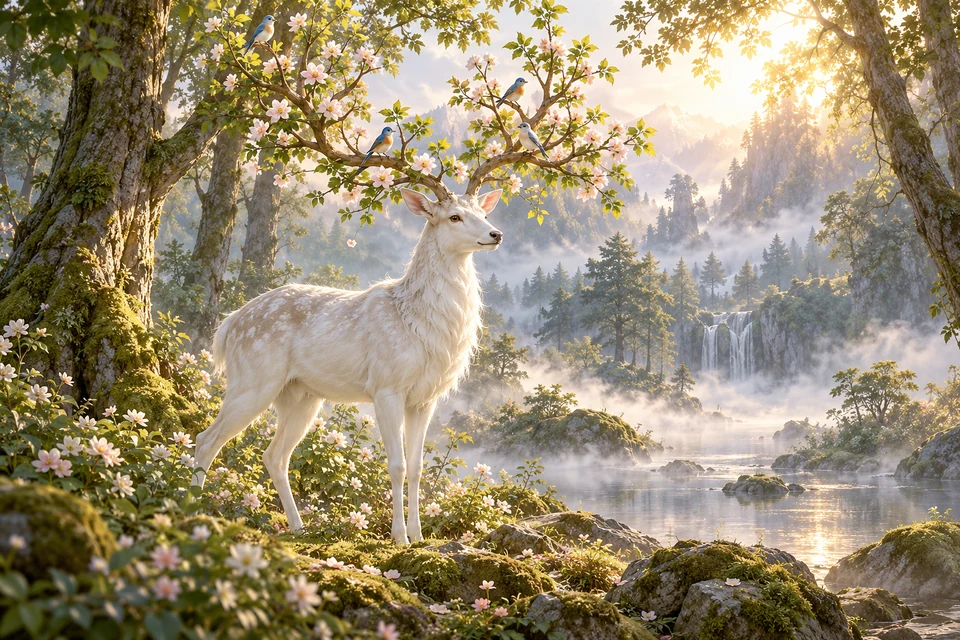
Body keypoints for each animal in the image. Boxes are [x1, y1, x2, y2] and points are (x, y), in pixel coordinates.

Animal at [194, 7, 648, 542]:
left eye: (480, 210)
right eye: (452, 217)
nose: (495, 233)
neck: (425, 327)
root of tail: (227, 326)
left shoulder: (425, 397)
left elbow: (416, 466)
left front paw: (421, 536)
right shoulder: (386, 385)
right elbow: (392, 464)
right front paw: (397, 537)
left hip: (300, 393)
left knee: (273, 454)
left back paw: (299, 528)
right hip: (254, 376)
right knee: (207, 439)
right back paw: (190, 507)